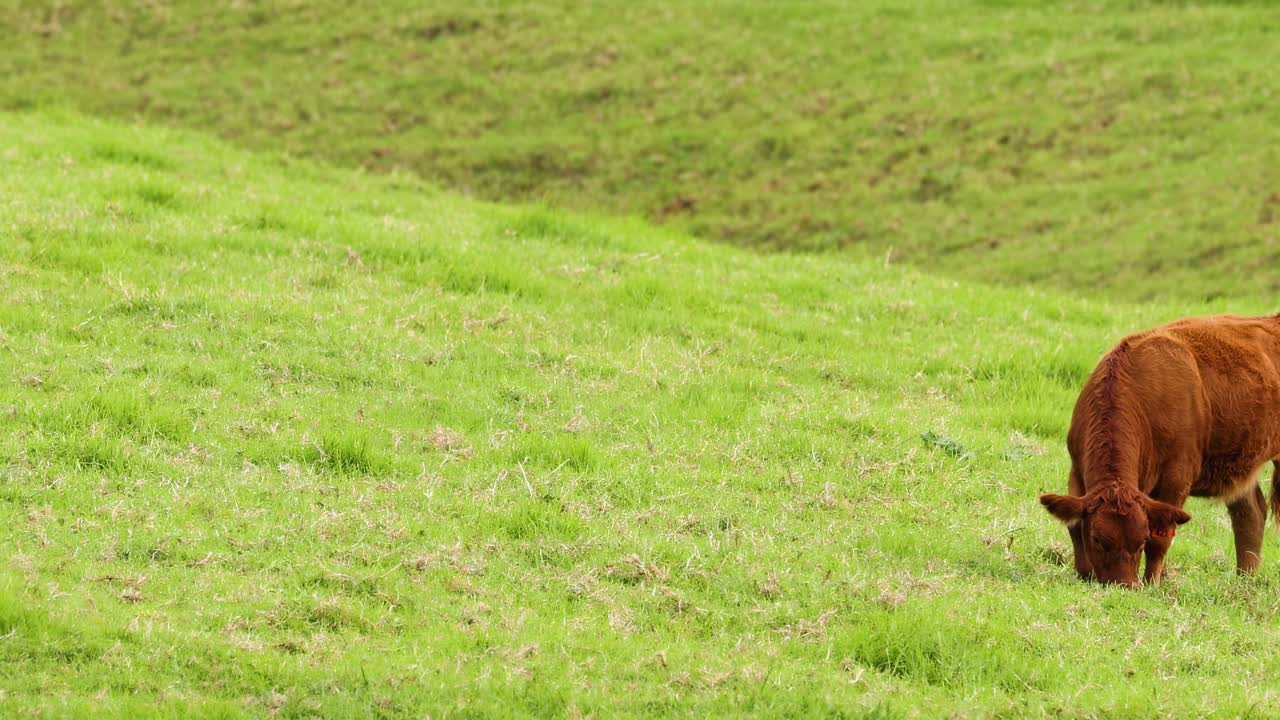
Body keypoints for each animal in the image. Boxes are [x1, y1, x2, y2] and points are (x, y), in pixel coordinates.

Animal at [1040, 314, 1280, 587]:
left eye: (1141, 540)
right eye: (1097, 539)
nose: (1124, 585)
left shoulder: (1177, 478)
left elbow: (1161, 538)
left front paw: (1152, 582)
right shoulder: (1077, 472)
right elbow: (1073, 526)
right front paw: (1084, 573)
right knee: (1250, 514)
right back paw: (1244, 580)